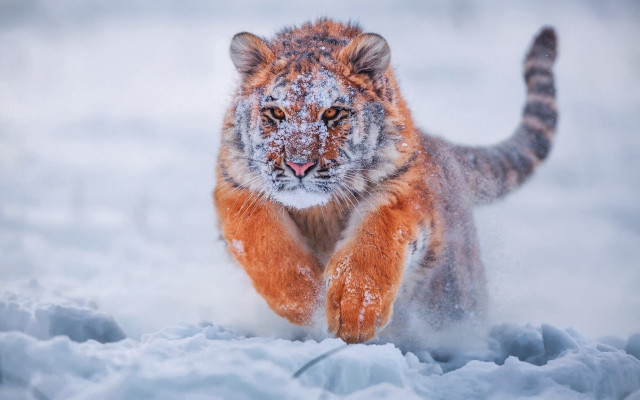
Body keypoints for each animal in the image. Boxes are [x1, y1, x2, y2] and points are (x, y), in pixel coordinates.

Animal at [213, 19, 558, 344]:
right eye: (275, 113)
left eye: (332, 113)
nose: (300, 165)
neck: (319, 211)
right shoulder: (237, 189)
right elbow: (267, 248)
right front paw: (308, 301)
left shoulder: (400, 188)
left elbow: (373, 240)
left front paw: (354, 312)